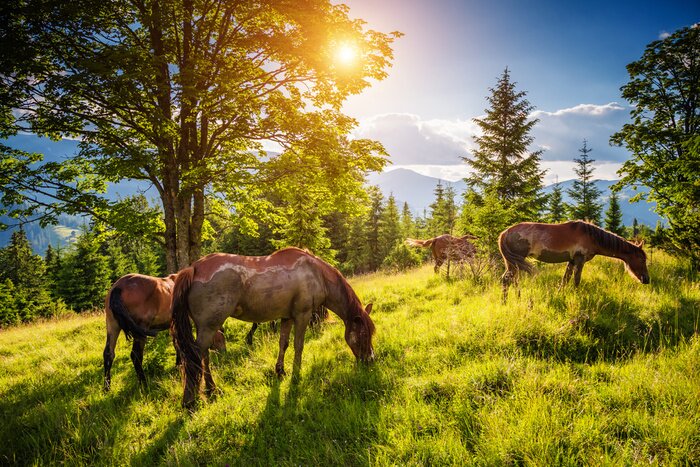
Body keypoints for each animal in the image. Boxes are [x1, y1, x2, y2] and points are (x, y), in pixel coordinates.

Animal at [171, 247, 375, 409]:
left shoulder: (287, 317)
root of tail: (193, 268)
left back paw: (210, 389)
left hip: (206, 328)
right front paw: (296, 374)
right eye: (364, 334)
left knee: (203, 356)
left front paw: (280, 371)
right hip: (209, 326)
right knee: (195, 357)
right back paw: (191, 399)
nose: (371, 360)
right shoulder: (302, 315)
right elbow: (298, 345)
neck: (317, 273)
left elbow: (283, 343)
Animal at [498, 221, 650, 302]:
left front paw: (560, 294)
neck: (592, 237)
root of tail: (504, 233)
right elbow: (576, 280)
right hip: (516, 260)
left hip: (511, 262)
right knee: (508, 279)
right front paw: (577, 296)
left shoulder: (571, 261)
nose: (646, 279)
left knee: (508, 279)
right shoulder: (579, 260)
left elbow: (565, 279)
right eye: (642, 259)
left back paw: (509, 301)